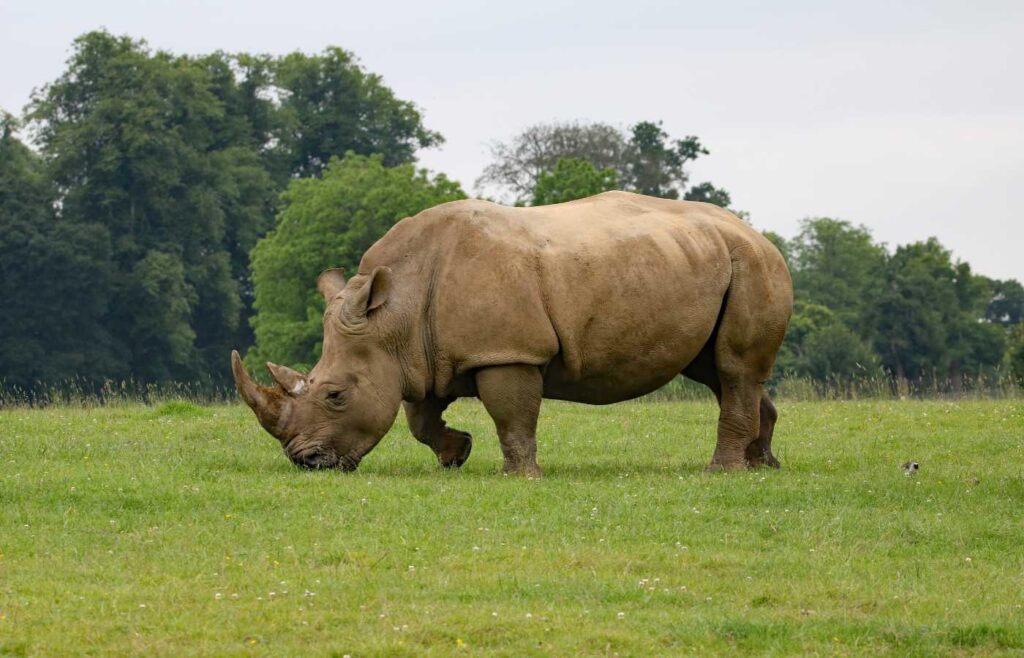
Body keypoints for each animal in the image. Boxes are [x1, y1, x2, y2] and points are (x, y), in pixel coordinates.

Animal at [232, 190, 790, 472]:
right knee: (720, 372)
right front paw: (456, 455)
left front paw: (518, 475)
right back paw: (763, 466)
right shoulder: (421, 355)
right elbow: (419, 418)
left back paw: (722, 472)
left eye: (335, 396)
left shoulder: (506, 351)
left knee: (733, 368)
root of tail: (758, 232)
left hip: (753, 265)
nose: (306, 463)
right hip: (707, 261)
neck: (394, 315)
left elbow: (512, 415)